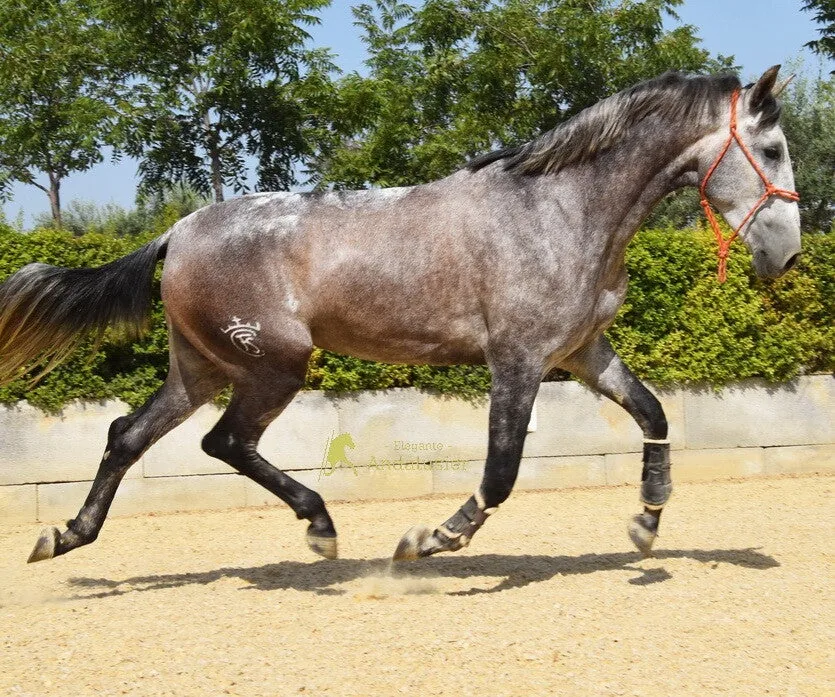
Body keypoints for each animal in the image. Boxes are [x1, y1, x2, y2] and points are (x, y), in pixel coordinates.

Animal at [0, 66, 800, 565]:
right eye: (770, 148)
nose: (787, 256)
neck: (561, 209)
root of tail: (179, 230)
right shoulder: (518, 360)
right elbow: (501, 470)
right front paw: (430, 538)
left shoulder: (582, 353)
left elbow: (654, 414)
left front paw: (644, 523)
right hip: (272, 366)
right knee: (223, 442)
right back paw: (320, 527)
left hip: (200, 367)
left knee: (128, 435)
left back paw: (64, 536)